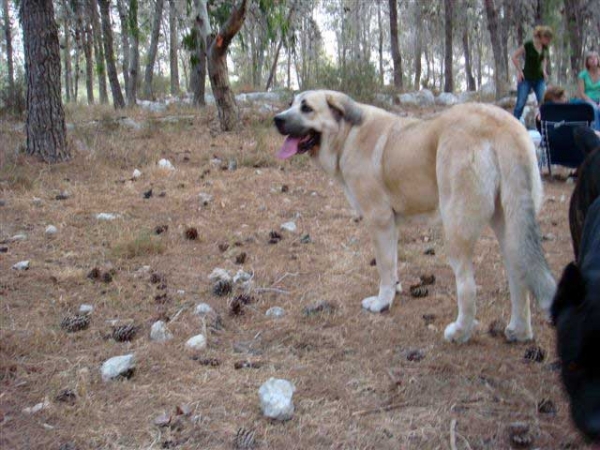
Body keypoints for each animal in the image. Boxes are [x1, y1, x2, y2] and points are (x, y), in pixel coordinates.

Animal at [274, 91, 556, 344]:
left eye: (307, 108)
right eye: (291, 103)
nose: (276, 119)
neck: (347, 135)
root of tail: (501, 124)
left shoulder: (379, 220)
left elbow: (385, 265)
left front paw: (382, 302)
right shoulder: (391, 226)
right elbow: (393, 262)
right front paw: (395, 289)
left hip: (456, 230)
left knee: (467, 287)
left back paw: (460, 333)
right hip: (510, 227)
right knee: (519, 276)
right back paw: (519, 331)